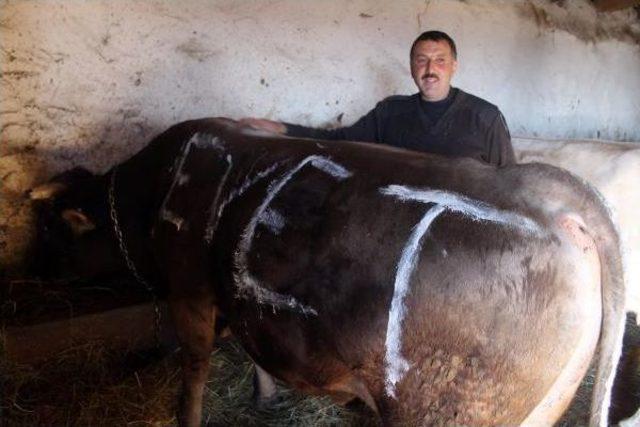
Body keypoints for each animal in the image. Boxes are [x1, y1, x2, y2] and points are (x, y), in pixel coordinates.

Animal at [30, 118, 624, 426]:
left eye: (53, 228)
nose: (36, 272)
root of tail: (551, 192)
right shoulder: (243, 298)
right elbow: (252, 345)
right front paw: (266, 395)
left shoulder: (190, 291)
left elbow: (194, 370)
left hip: (449, 409)